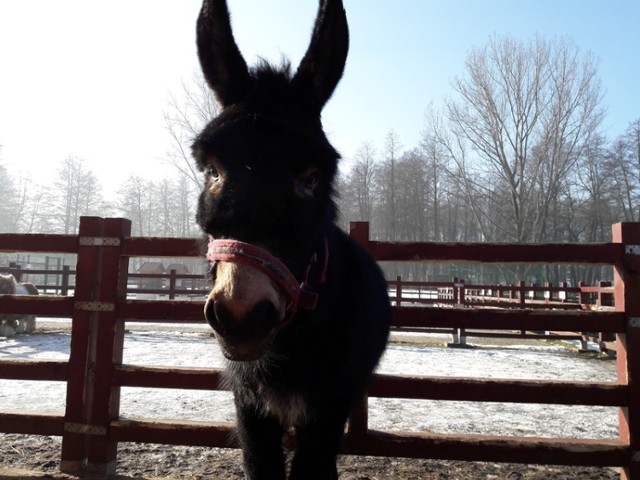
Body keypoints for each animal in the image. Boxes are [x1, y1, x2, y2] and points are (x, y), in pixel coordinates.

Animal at [191, 1, 390, 478]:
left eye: (311, 178)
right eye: (212, 170)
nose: (241, 315)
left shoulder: (330, 405)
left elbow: (313, 466)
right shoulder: (248, 406)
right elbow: (261, 465)